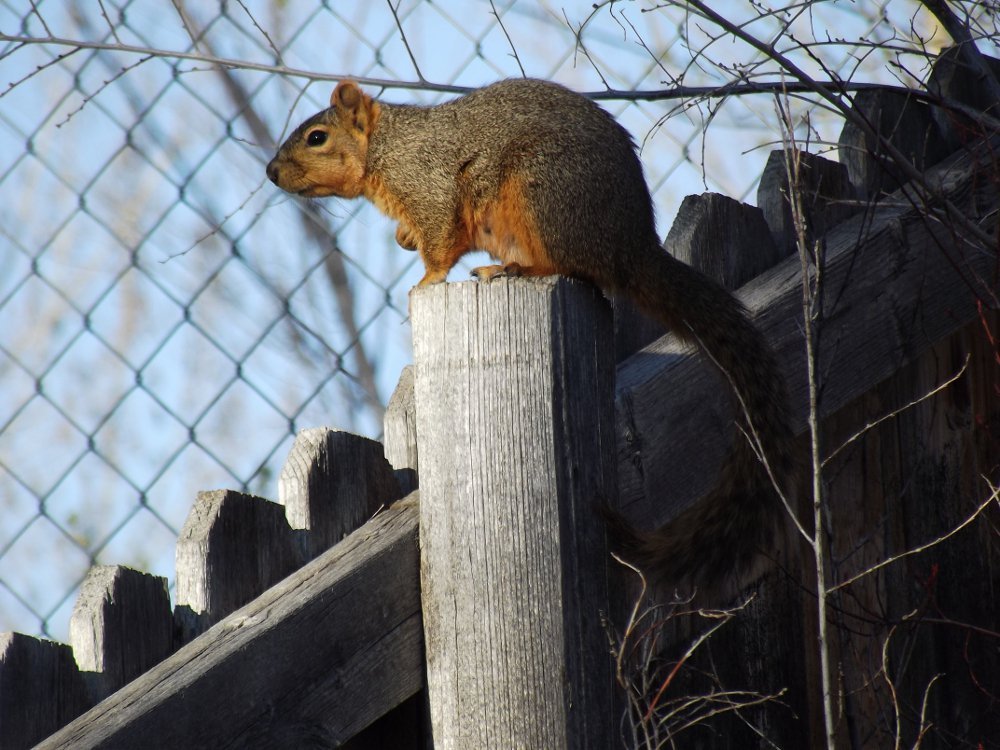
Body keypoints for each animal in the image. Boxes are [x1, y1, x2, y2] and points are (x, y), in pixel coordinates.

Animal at [268, 78, 796, 592]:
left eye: (317, 137)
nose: (271, 172)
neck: (388, 147)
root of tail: (632, 248)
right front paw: (404, 238)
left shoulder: (431, 187)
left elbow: (440, 243)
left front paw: (425, 281)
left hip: (541, 192)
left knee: (569, 265)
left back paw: (512, 267)